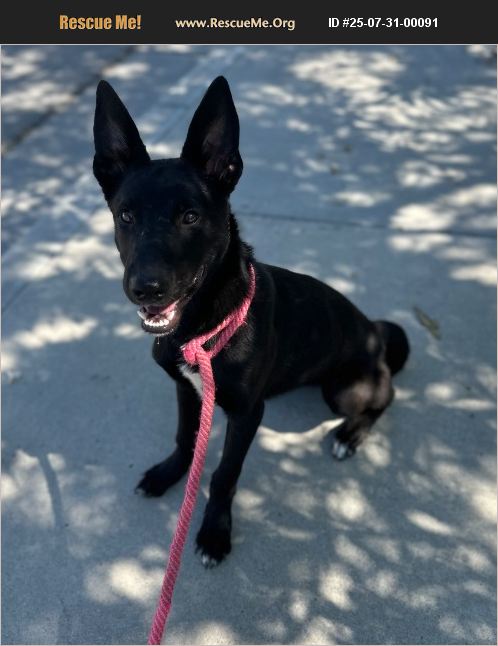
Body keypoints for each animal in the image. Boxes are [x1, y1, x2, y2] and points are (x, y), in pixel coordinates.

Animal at [93, 76, 410, 566]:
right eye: (125, 215)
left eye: (190, 216)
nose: (145, 289)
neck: (203, 326)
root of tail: (374, 329)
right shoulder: (187, 389)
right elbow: (185, 438)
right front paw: (168, 474)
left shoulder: (245, 414)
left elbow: (224, 473)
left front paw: (215, 531)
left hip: (345, 389)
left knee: (385, 396)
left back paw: (349, 435)